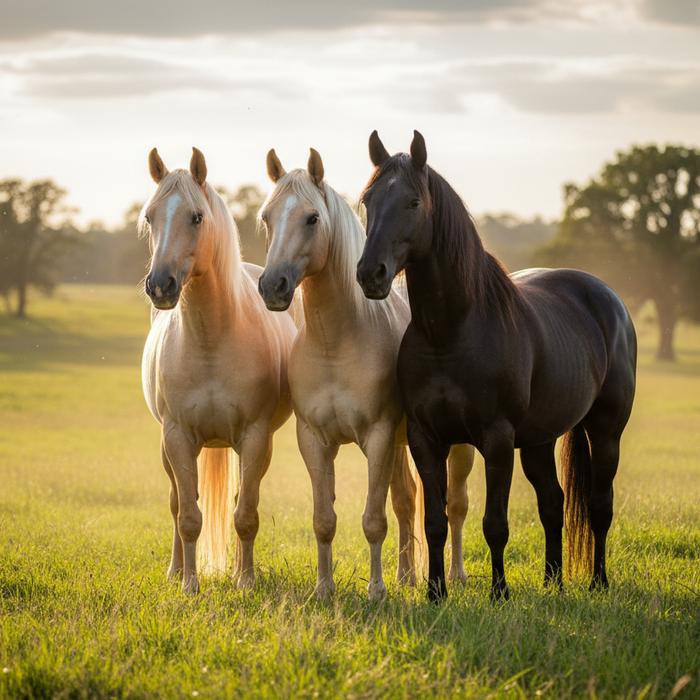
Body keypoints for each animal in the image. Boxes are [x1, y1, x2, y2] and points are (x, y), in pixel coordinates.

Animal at [140, 147, 296, 594]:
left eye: (196, 217)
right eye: (149, 217)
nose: (160, 285)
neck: (211, 341)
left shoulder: (256, 439)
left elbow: (246, 515)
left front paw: (246, 581)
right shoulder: (177, 438)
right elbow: (189, 517)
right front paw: (189, 585)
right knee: (177, 504)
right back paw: (176, 570)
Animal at [257, 147, 475, 599]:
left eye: (312, 218)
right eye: (267, 217)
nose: (272, 286)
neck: (335, 343)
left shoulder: (377, 437)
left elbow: (374, 521)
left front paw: (376, 592)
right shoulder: (315, 440)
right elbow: (325, 520)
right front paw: (324, 588)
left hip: (454, 446)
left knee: (457, 504)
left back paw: (456, 575)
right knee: (407, 500)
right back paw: (407, 576)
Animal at [356, 131, 637, 602]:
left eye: (413, 202)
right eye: (367, 200)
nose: (369, 274)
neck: (450, 334)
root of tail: (606, 296)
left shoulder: (497, 439)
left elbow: (495, 524)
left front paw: (499, 593)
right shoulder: (426, 439)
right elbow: (435, 522)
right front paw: (435, 593)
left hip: (605, 432)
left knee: (600, 506)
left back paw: (597, 581)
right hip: (540, 441)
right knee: (553, 503)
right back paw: (552, 582)